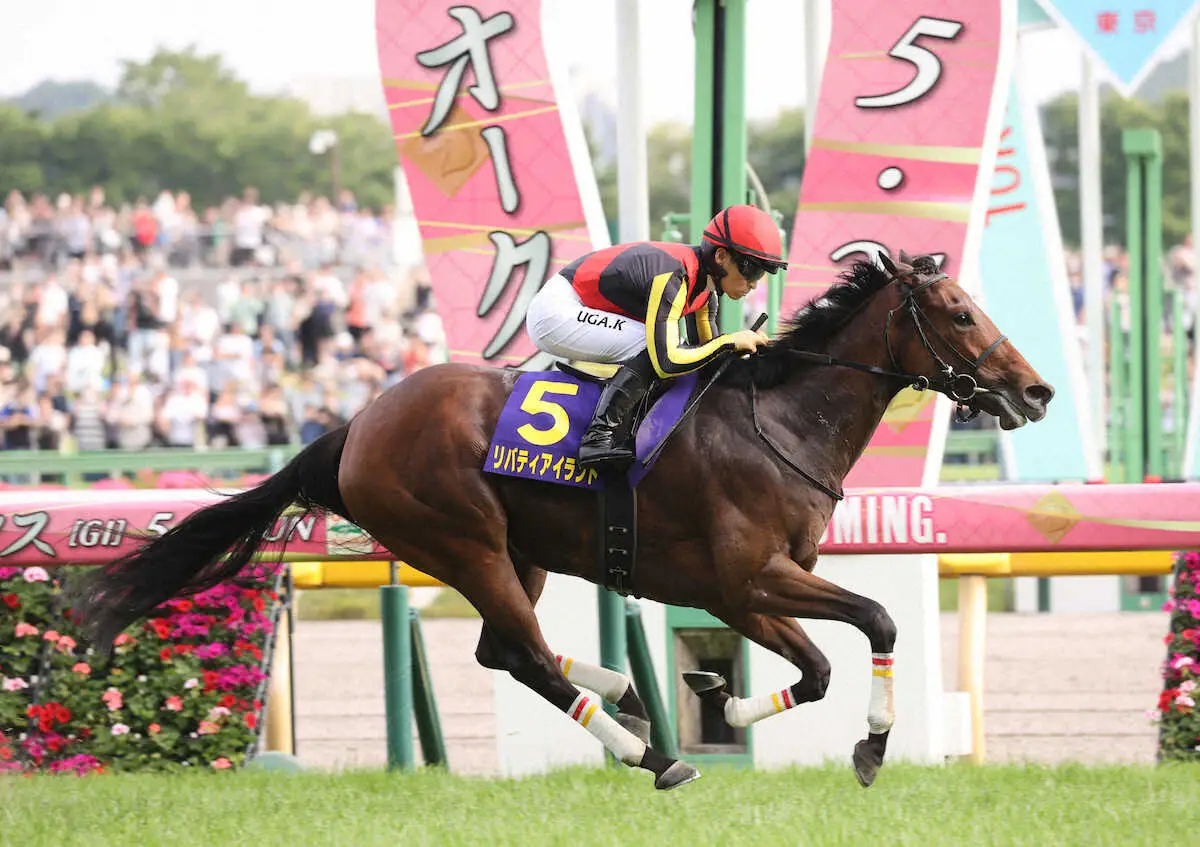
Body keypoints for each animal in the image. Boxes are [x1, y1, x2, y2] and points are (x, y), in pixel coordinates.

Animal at [69, 251, 1053, 789]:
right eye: (960, 313)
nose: (1037, 390)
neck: (779, 419)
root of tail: (356, 425)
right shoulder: (750, 575)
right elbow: (875, 620)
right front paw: (868, 745)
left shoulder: (739, 590)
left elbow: (812, 670)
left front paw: (719, 695)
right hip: (462, 541)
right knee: (527, 655)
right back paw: (648, 752)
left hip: (522, 551)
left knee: (504, 649)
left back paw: (626, 693)